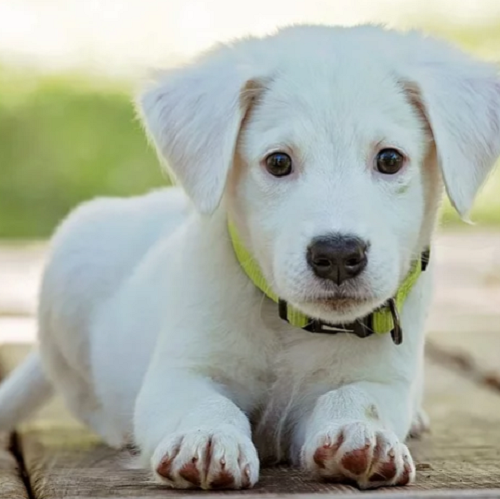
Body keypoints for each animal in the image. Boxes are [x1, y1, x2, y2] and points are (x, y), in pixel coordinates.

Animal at [0, 24, 500, 492]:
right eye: (278, 162)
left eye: (390, 159)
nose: (338, 254)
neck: (291, 326)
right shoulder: (179, 372)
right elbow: (205, 402)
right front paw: (205, 439)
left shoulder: (384, 380)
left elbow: (358, 397)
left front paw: (363, 434)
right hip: (70, 268)